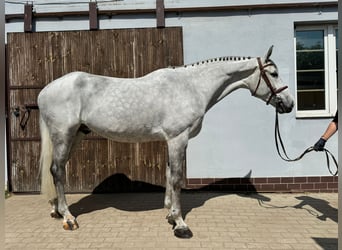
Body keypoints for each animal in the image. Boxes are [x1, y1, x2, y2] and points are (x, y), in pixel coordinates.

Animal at [37, 47, 294, 238]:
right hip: (64, 134)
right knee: (57, 170)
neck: (191, 86)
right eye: (273, 74)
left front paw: (170, 215)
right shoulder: (177, 139)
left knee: (56, 169)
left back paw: (56, 210)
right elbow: (177, 178)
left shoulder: (172, 141)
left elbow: (170, 176)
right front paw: (181, 225)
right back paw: (68, 218)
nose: (289, 104)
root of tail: (45, 91)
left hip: (76, 134)